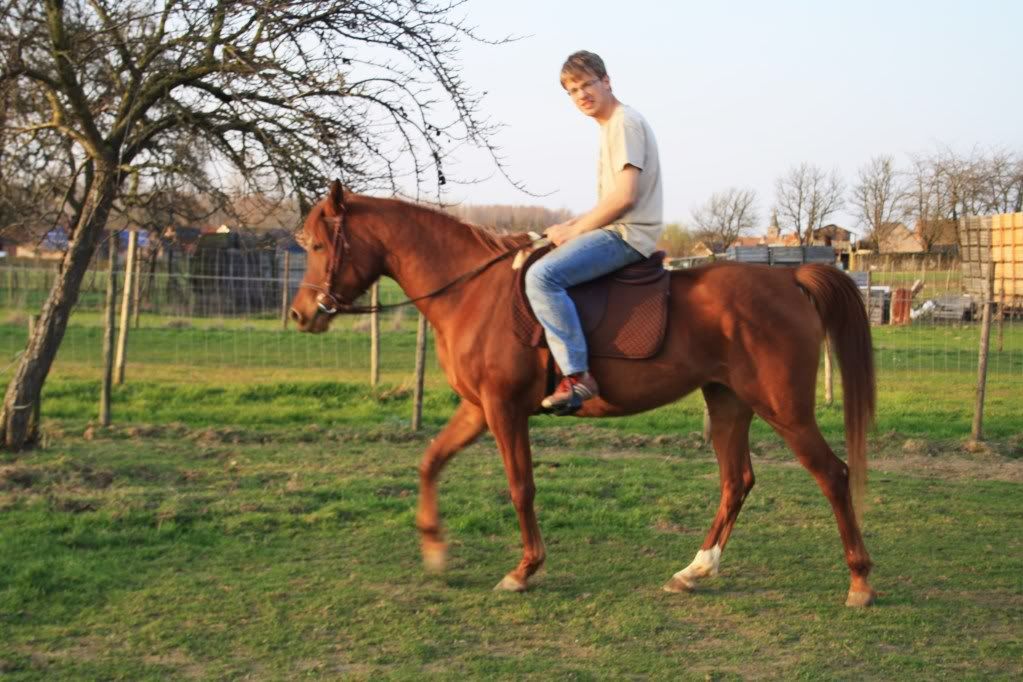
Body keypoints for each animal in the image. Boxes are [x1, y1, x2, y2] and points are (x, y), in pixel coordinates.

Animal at [290, 180, 879, 609]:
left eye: (318, 245)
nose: (299, 314)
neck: (471, 292)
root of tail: (789, 280)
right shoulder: (478, 409)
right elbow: (430, 462)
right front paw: (436, 550)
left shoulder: (504, 410)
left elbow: (521, 487)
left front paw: (524, 569)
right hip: (729, 402)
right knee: (737, 481)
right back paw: (694, 571)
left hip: (784, 409)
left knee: (832, 474)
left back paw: (860, 582)